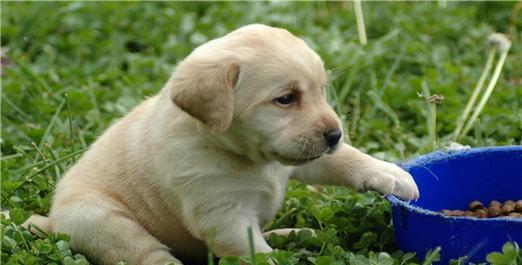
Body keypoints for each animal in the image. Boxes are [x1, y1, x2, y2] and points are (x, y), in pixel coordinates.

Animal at [24, 23, 416, 262]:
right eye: (286, 99)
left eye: (321, 91)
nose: (335, 134)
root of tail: (52, 221)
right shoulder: (223, 215)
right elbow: (255, 253)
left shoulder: (302, 155)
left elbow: (344, 159)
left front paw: (393, 175)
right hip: (100, 219)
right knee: (148, 255)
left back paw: (294, 233)